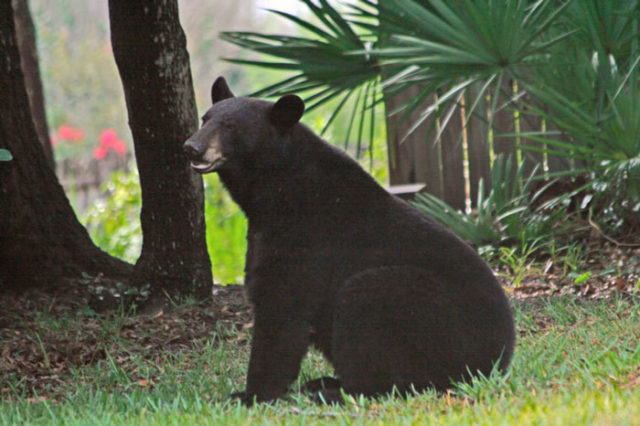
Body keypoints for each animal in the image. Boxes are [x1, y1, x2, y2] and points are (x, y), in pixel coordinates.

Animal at [183, 76, 516, 404]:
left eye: (230, 126)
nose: (191, 147)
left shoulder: (305, 238)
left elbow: (283, 308)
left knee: (369, 306)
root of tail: (498, 361)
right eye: (205, 118)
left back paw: (336, 391)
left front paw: (250, 395)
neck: (279, 186)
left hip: (432, 318)